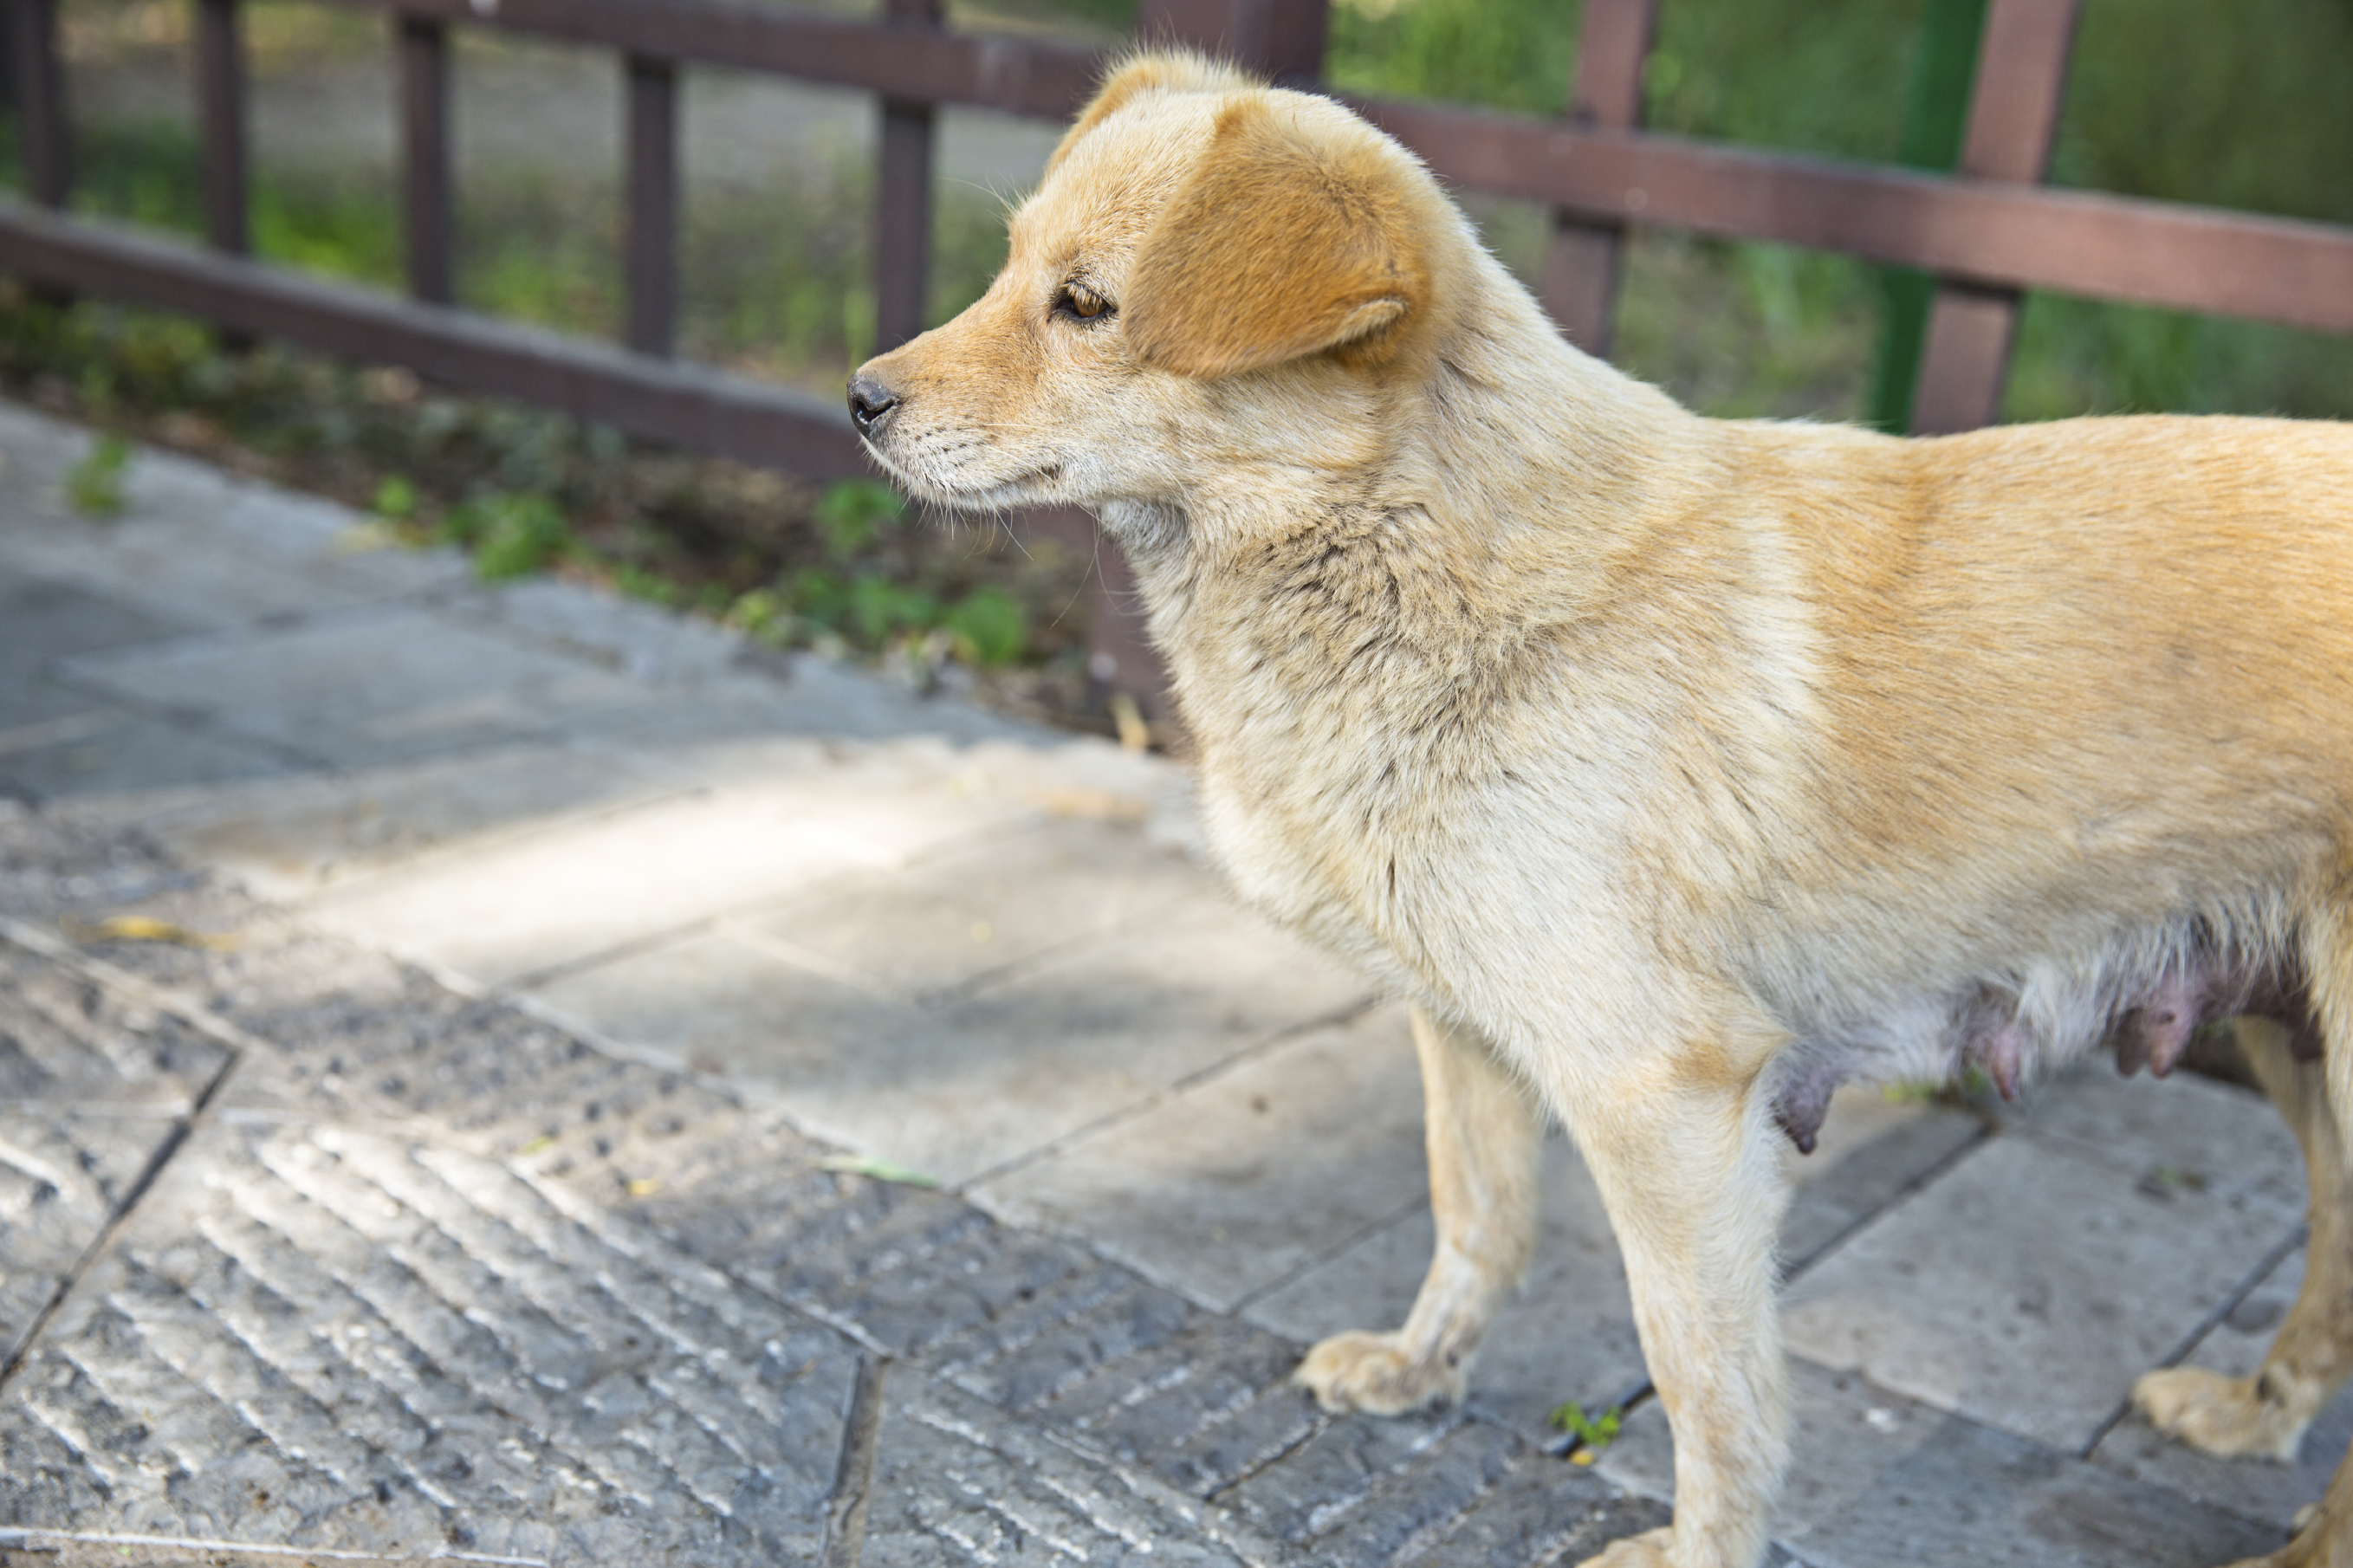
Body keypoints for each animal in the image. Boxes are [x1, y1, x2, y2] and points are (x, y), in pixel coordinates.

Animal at [846, 51, 2353, 1563]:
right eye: (1010, 270)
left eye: (1087, 306)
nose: (857, 398)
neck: (1424, 562)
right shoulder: (1467, 1028)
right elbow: (1479, 1217)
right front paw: (1422, 1370)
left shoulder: (1662, 1098)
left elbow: (1706, 1379)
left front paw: (1702, 1546)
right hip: (2301, 1055)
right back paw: (2255, 1424)